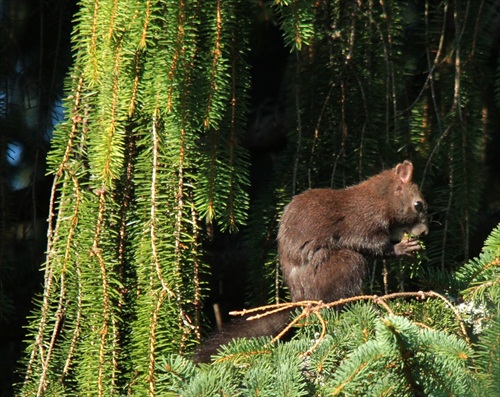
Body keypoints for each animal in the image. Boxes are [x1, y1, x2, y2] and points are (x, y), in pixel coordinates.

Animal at [194, 159, 426, 360]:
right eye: (419, 205)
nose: (424, 233)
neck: (380, 198)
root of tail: (301, 300)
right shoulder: (362, 222)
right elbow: (374, 245)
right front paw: (402, 248)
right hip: (346, 263)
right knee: (335, 301)